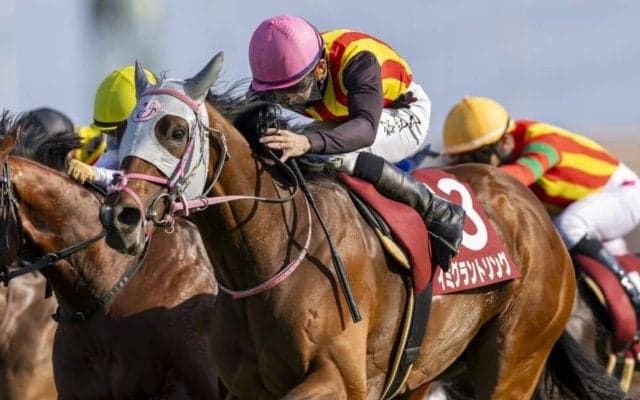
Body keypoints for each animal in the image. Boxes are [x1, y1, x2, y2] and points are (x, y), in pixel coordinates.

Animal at [98, 53, 621, 399]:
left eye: (175, 130)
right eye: (123, 133)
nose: (120, 216)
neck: (268, 257)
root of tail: (531, 211)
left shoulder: (340, 378)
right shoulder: (243, 385)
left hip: (515, 356)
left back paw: (448, 218)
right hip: (428, 371)